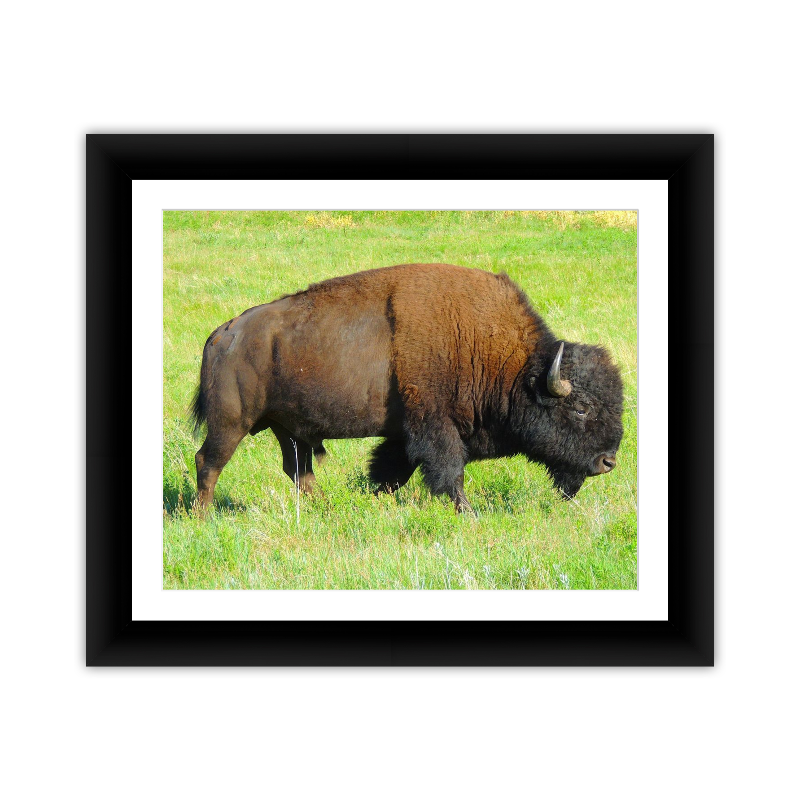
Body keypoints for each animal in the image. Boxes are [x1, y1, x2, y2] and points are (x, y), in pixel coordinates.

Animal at [191, 263, 623, 514]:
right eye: (581, 408)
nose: (608, 462)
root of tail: (221, 334)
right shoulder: (436, 428)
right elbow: (449, 473)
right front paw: (468, 514)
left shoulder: (404, 436)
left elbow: (391, 472)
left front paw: (373, 502)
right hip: (231, 423)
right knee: (208, 462)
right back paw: (203, 516)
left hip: (286, 429)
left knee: (298, 470)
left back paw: (326, 509)